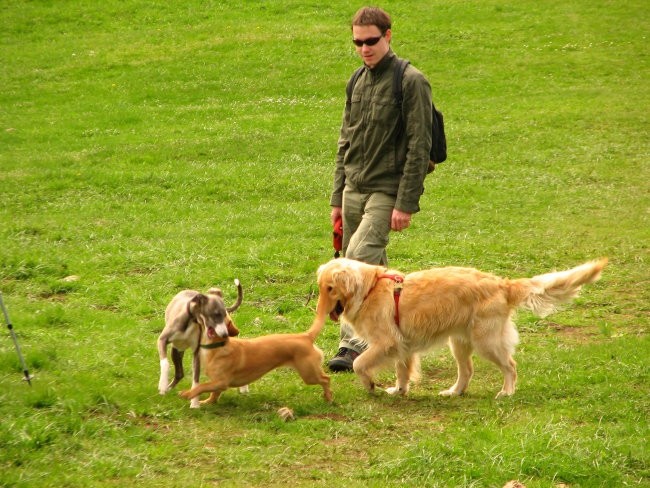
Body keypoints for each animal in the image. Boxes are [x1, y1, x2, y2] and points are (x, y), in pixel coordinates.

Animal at [178, 314, 332, 406]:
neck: (218, 346)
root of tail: (305, 336)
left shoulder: (221, 382)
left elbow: (201, 386)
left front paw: (187, 394)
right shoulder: (217, 384)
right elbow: (213, 394)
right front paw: (207, 402)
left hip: (309, 374)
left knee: (326, 379)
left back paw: (329, 397)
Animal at [312, 258, 604, 398]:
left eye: (330, 288)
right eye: (321, 287)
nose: (320, 312)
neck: (370, 289)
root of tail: (502, 283)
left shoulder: (386, 343)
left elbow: (360, 363)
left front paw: (371, 384)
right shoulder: (402, 346)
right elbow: (402, 372)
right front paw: (400, 390)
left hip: (487, 342)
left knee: (510, 365)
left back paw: (507, 392)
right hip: (460, 342)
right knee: (468, 371)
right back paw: (454, 392)